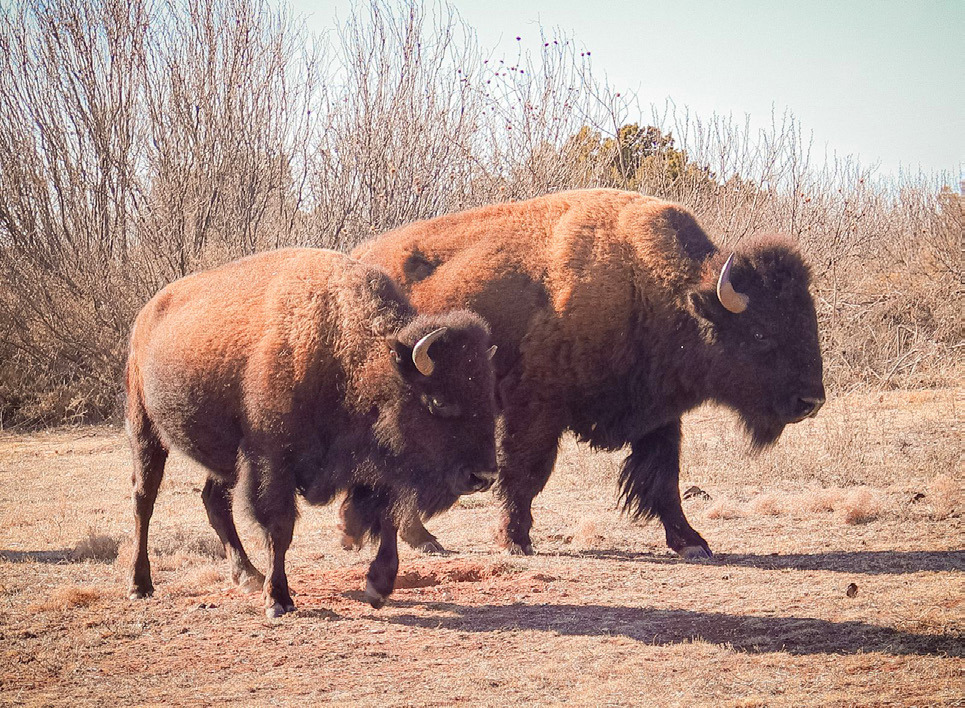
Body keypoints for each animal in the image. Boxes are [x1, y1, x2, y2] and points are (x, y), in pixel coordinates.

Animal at [125, 248, 498, 617]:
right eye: (438, 400)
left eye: (488, 397)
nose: (484, 476)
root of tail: (145, 315)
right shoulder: (272, 462)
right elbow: (280, 527)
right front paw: (278, 599)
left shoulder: (377, 470)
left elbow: (386, 519)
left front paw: (378, 586)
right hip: (145, 430)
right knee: (144, 500)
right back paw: (140, 585)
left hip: (225, 460)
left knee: (214, 501)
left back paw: (248, 576)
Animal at [349, 188, 825, 558]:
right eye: (761, 332)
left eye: (808, 320)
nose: (811, 401)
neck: (653, 287)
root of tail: (358, 258)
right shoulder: (535, 408)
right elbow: (525, 472)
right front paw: (514, 540)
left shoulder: (659, 415)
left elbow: (663, 479)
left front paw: (692, 542)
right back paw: (422, 538)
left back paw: (420, 539)